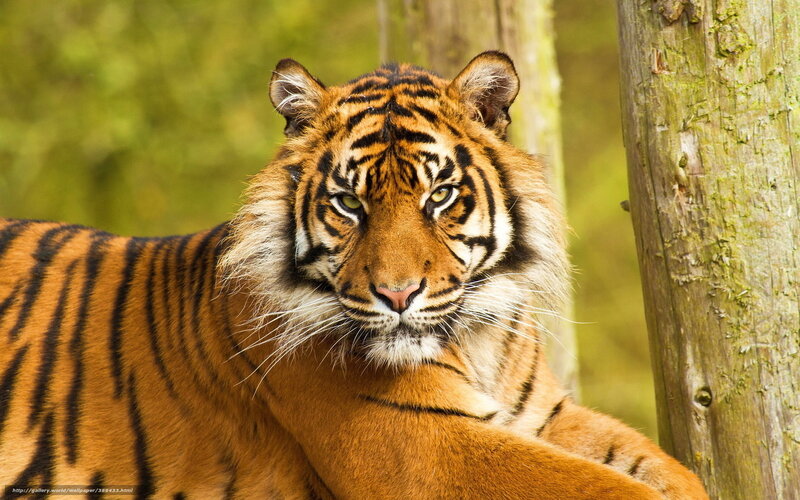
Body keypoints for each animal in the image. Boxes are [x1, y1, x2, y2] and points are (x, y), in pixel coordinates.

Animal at [0, 51, 708, 499]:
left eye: (439, 196)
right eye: (348, 203)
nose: (397, 295)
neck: (479, 337)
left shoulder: (540, 415)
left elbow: (666, 471)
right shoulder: (427, 447)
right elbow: (615, 489)